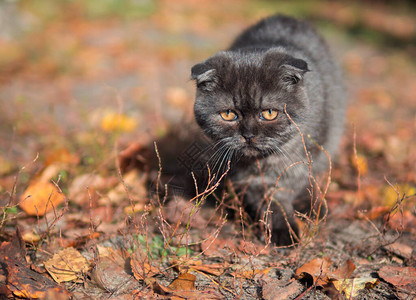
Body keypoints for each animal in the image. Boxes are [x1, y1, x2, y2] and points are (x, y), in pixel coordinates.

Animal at [190, 14, 346, 246]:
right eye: (228, 114)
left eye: (270, 113)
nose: (248, 135)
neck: (262, 162)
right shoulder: (245, 175)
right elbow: (266, 198)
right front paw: (279, 228)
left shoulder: (297, 163)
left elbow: (281, 192)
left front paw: (285, 229)